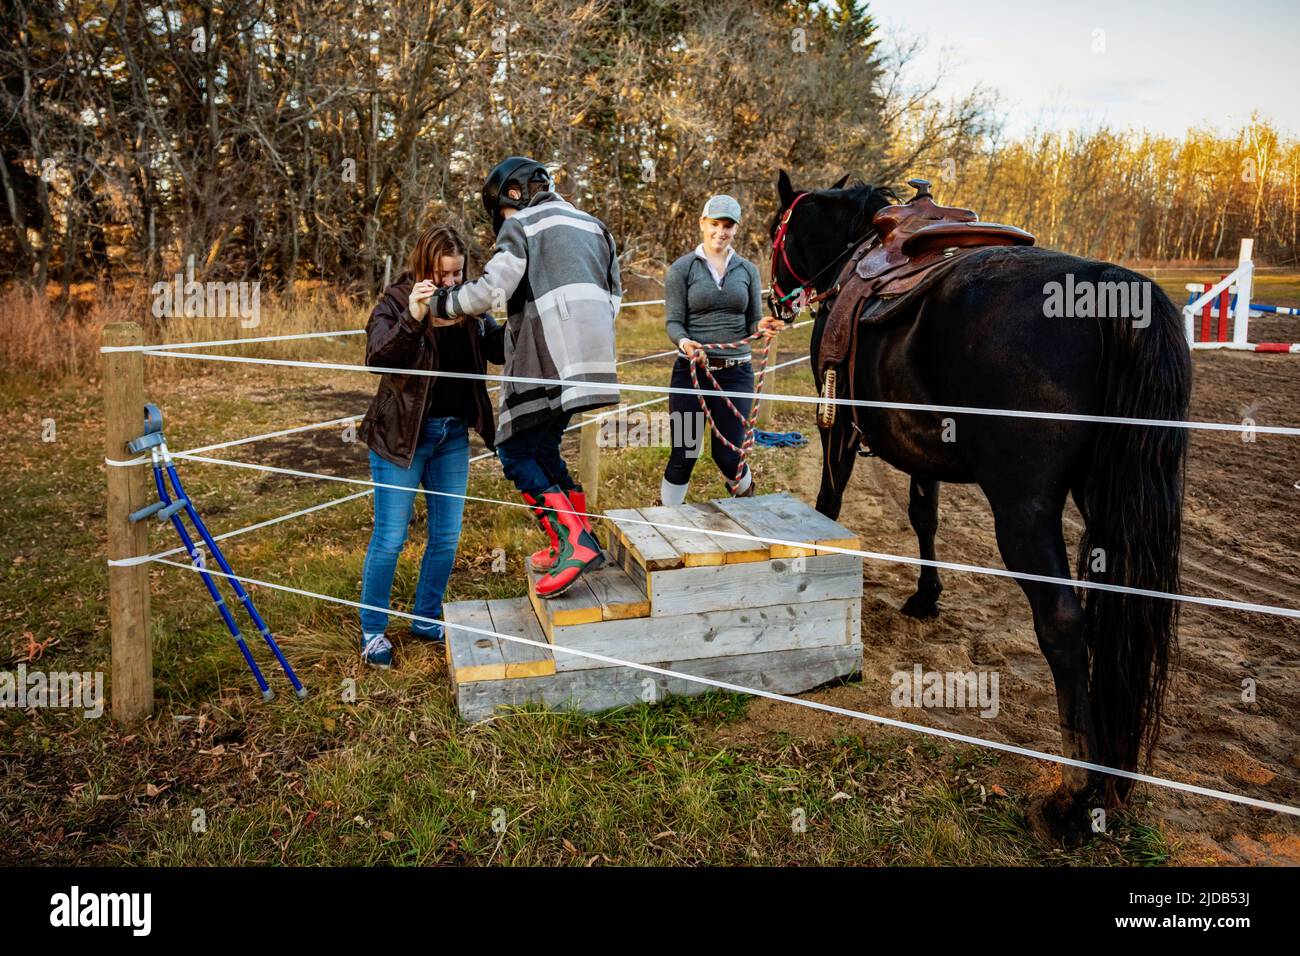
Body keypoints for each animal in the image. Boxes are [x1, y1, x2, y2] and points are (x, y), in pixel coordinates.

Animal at [764, 171, 1190, 842]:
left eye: (776, 229)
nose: (774, 294)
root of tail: (1112, 288)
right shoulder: (921, 444)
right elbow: (924, 515)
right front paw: (926, 596)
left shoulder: (839, 424)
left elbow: (830, 500)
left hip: (1023, 511)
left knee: (1063, 625)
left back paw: (1074, 796)